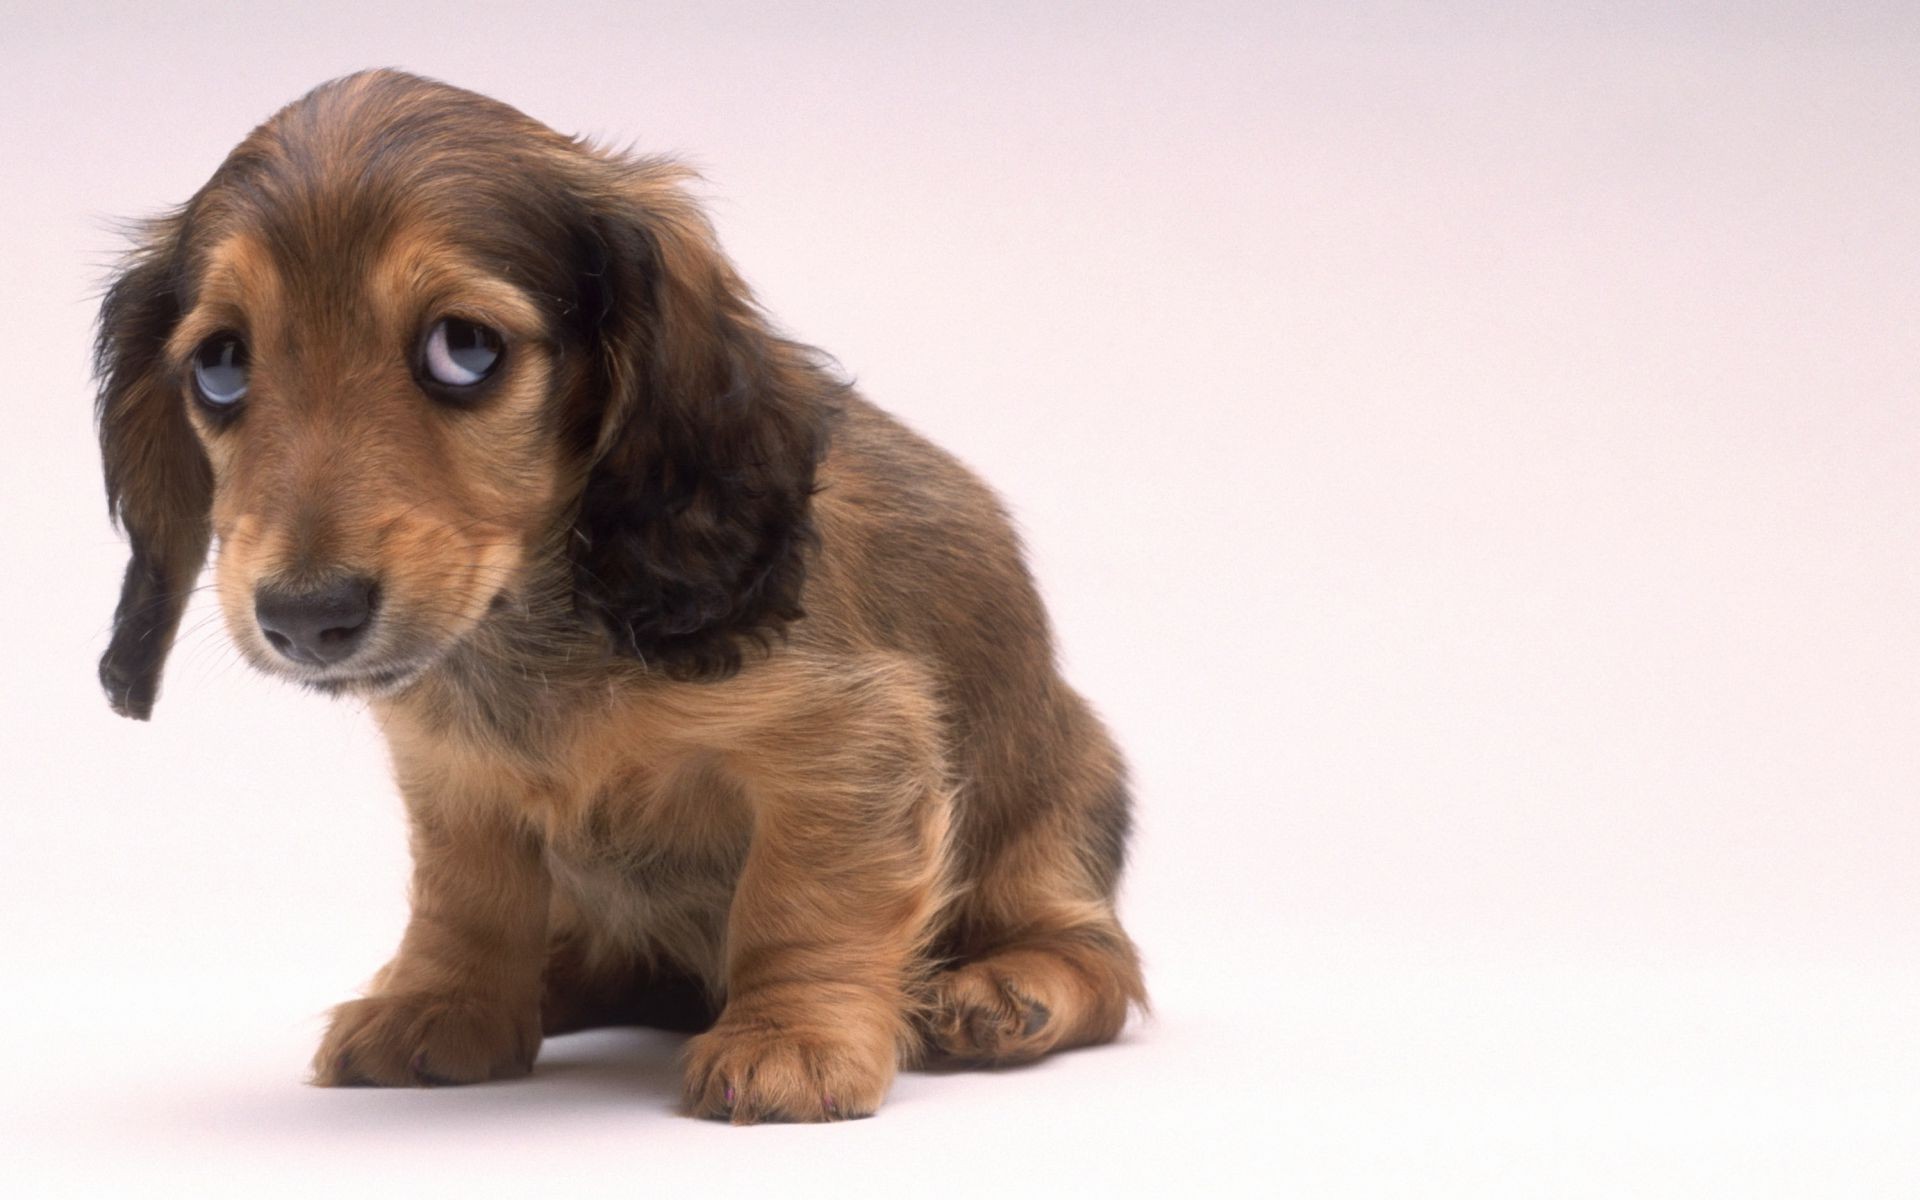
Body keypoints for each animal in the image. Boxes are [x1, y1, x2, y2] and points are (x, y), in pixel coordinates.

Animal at [93, 72, 1136, 1121]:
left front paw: (789, 1038)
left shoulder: (848, 741)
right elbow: (467, 895)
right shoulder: (455, 774)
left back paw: (1005, 993)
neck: (535, 626)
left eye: (463, 349)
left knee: (1101, 959)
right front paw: (442, 1002)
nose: (306, 620)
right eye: (221, 365)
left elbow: (803, 897)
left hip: (1056, 814)